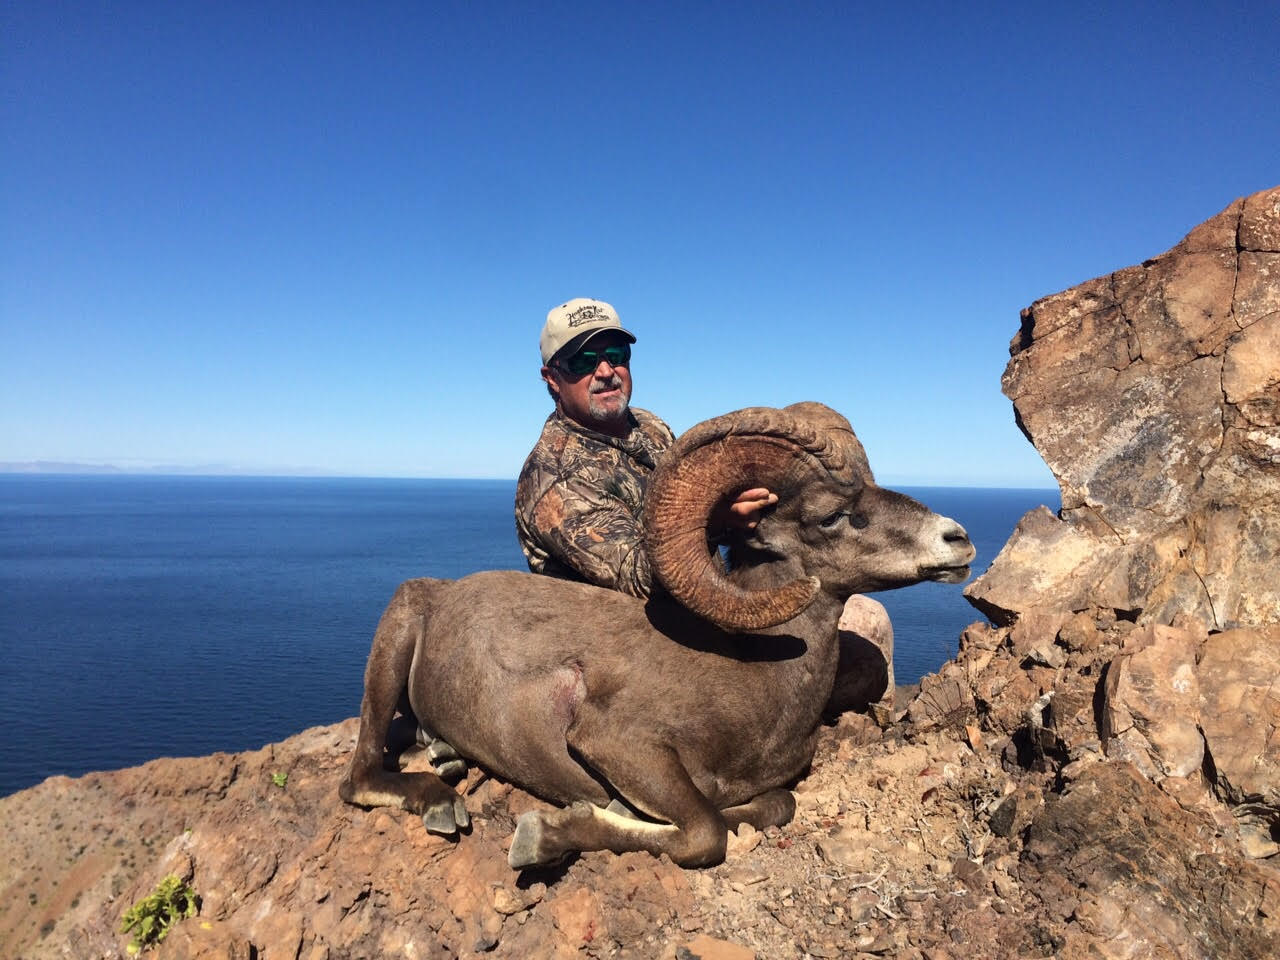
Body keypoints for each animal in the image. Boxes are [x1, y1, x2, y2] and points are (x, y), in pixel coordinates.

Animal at [339, 402, 975, 868]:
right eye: (831, 516)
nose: (958, 539)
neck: (754, 679)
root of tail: (440, 594)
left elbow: (776, 806)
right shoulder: (619, 743)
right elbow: (704, 833)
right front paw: (545, 836)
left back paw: (444, 755)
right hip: (394, 635)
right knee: (360, 775)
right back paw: (441, 800)